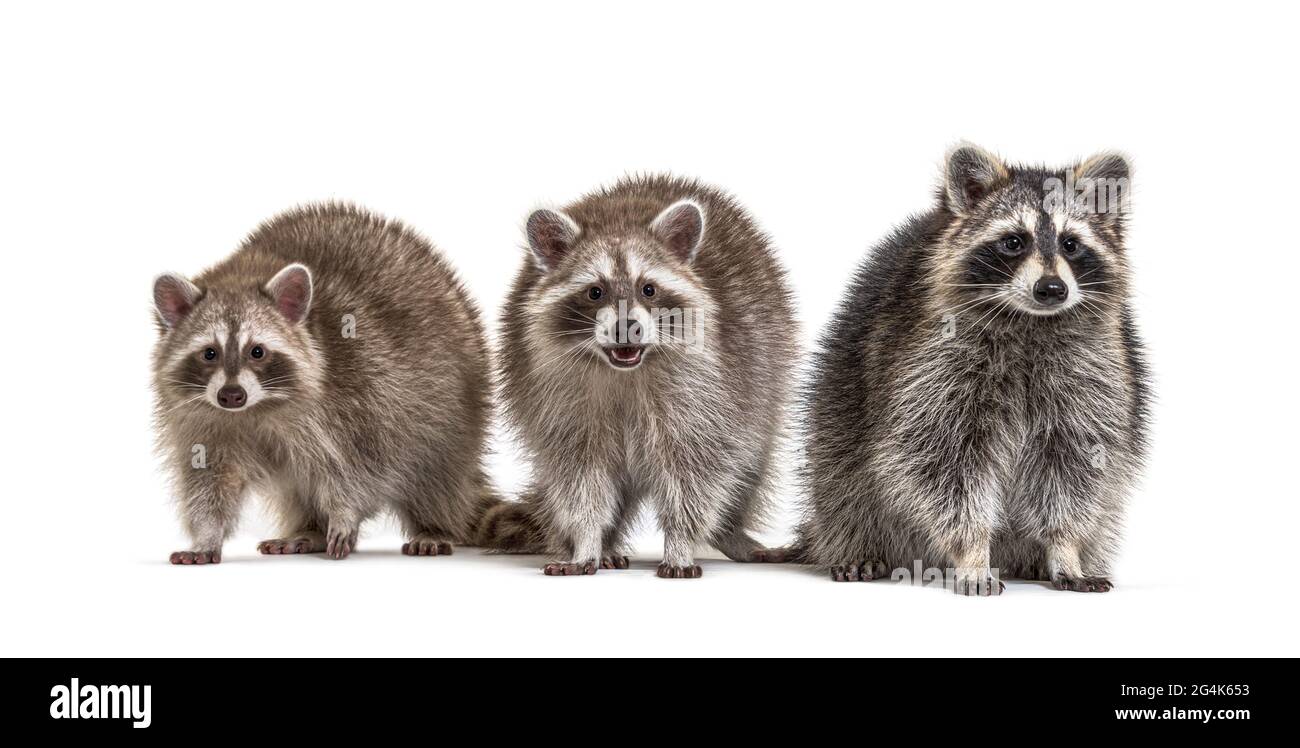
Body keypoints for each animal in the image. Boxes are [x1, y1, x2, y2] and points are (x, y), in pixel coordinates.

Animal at [152, 203, 496, 563]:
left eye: (257, 351)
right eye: (209, 353)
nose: (232, 395)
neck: (258, 408)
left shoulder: (364, 385)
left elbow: (362, 463)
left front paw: (344, 512)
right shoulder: (201, 420)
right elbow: (208, 479)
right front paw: (206, 535)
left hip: (454, 410)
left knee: (435, 472)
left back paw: (433, 525)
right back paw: (311, 528)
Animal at [477, 175, 797, 578]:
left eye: (649, 288)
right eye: (595, 292)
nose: (625, 327)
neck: (624, 370)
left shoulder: (710, 389)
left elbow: (696, 471)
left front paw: (680, 541)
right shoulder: (555, 394)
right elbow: (579, 477)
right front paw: (586, 540)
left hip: (764, 382)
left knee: (750, 463)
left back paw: (730, 532)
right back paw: (601, 544)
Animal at [793, 145, 1150, 595]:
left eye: (1071, 244)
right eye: (1013, 242)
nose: (1052, 289)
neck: (1029, 322)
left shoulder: (1093, 370)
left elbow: (1078, 466)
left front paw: (1064, 548)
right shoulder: (931, 363)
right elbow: (941, 463)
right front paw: (974, 551)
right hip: (839, 398)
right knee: (841, 476)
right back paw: (858, 545)